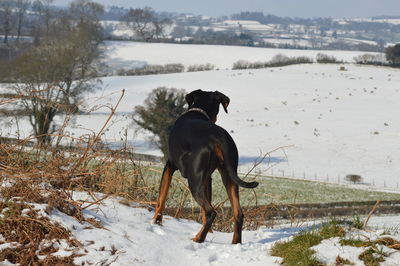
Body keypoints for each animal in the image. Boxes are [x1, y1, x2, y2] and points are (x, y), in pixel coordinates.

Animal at [151, 90, 260, 244]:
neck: (197, 111)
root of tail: (217, 137)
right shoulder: (208, 178)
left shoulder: (169, 166)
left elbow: (161, 198)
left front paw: (156, 221)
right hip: (228, 175)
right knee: (238, 213)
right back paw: (235, 243)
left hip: (194, 182)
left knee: (211, 212)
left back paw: (198, 238)